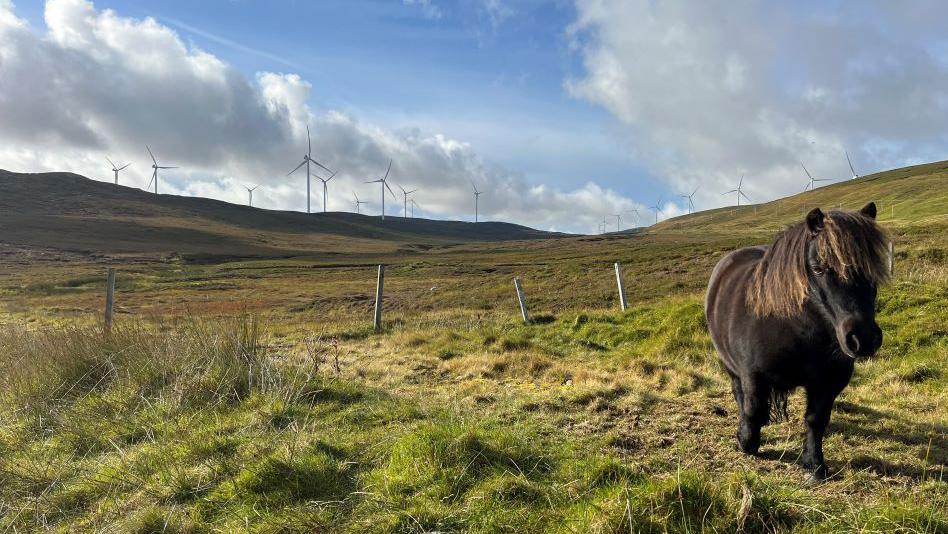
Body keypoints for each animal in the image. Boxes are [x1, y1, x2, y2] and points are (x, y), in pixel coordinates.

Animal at [712, 203, 888, 480]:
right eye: (818, 268)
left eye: (872, 268)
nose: (864, 339)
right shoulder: (753, 376)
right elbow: (752, 411)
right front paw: (745, 441)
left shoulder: (827, 383)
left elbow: (816, 420)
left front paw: (814, 464)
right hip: (731, 367)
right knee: (739, 394)